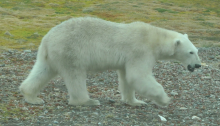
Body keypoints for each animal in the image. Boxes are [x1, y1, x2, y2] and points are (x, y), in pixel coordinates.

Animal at [18, 17, 201, 106]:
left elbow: (127, 78)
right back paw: (87, 101)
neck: (154, 38)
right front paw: (164, 99)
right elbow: (138, 76)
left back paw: (32, 97)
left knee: (42, 71)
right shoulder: (140, 51)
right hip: (71, 51)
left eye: (197, 51)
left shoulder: (128, 59)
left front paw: (135, 102)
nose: (198, 65)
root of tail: (47, 39)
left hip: (51, 55)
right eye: (191, 52)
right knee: (75, 76)